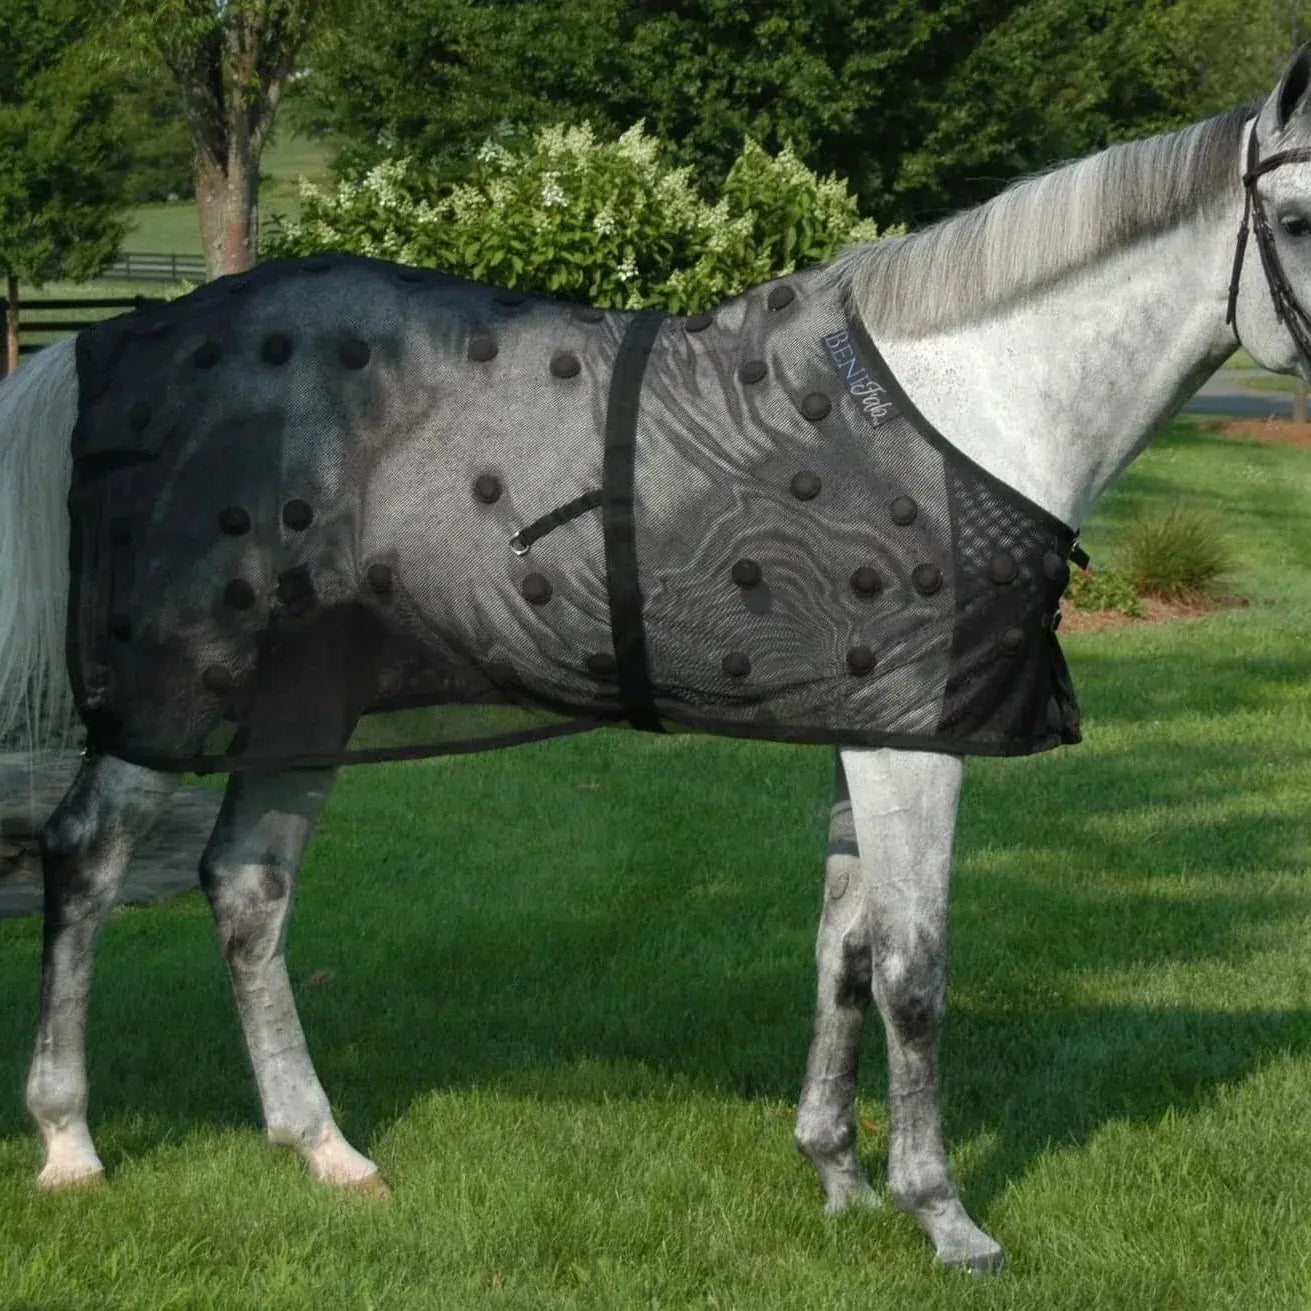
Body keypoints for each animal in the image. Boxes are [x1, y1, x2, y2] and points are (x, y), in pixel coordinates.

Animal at [4, 48, 1311, 1277]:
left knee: (247, 886)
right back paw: (70, 1144)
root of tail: (119, 337)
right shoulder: (911, 741)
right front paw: (943, 1216)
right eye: (1295, 219)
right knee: (88, 859)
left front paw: (836, 1175)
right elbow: (912, 973)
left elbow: (840, 952)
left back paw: (322, 1146)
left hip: (305, 699)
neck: (970, 403)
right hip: (178, 687)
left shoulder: (861, 728)